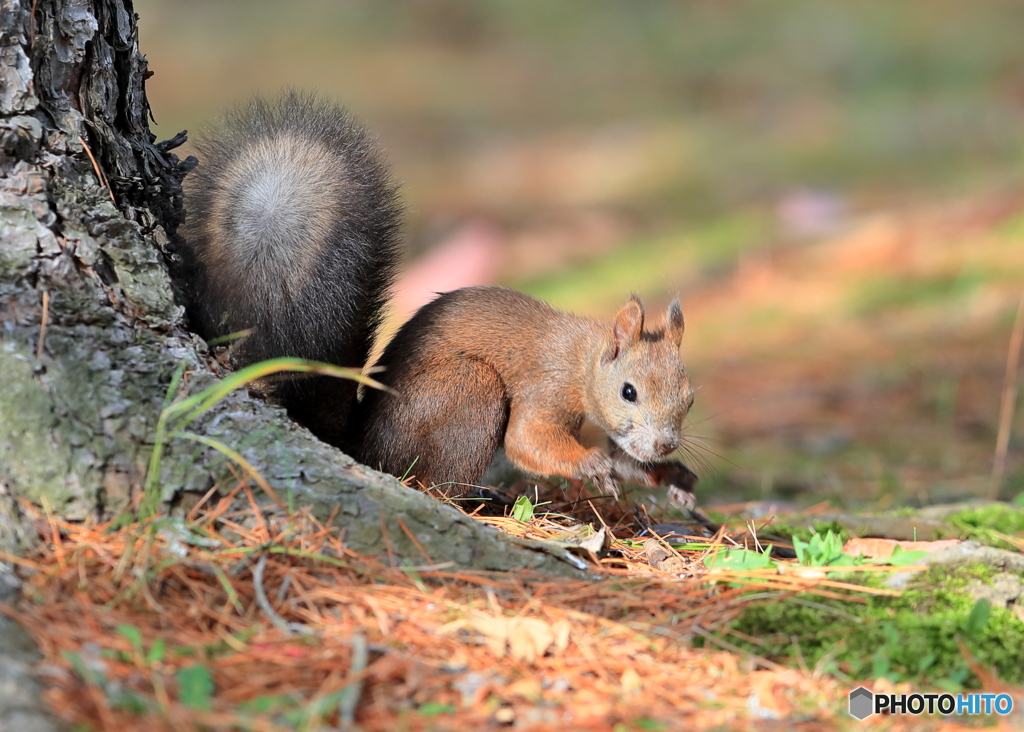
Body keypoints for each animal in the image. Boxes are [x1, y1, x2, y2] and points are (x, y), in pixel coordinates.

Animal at [180, 91, 700, 501]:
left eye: (690, 398)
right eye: (628, 391)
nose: (666, 445)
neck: (584, 364)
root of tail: (365, 449)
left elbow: (626, 456)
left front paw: (669, 476)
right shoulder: (546, 387)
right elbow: (527, 441)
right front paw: (592, 465)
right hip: (468, 390)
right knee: (435, 483)